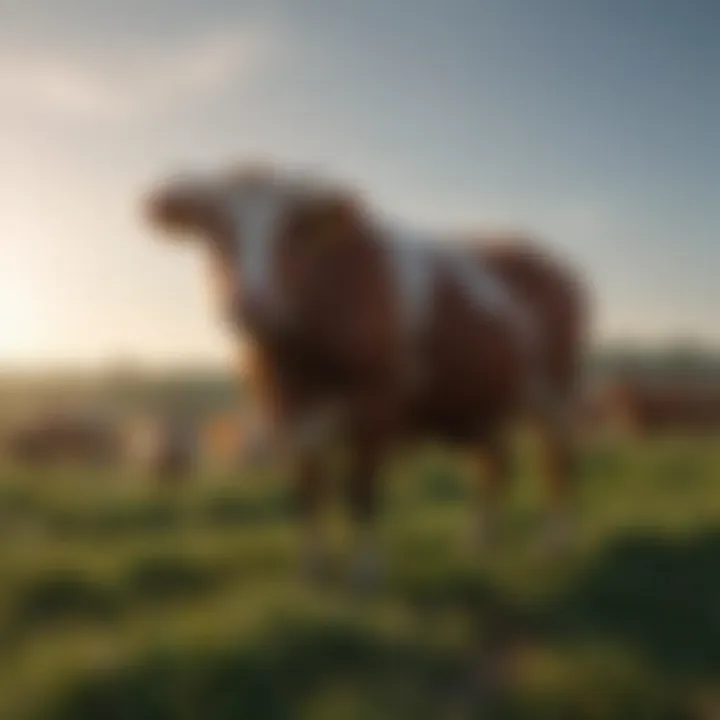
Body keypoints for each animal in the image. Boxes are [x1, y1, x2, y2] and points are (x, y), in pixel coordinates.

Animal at [145, 162, 592, 584]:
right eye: (214, 229)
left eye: (296, 231)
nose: (252, 303)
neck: (299, 368)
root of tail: (547, 260)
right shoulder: (288, 416)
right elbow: (307, 492)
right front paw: (313, 572)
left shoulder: (377, 405)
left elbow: (362, 490)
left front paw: (365, 574)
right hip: (483, 402)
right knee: (494, 465)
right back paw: (478, 544)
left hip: (557, 390)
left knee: (557, 461)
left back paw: (555, 545)